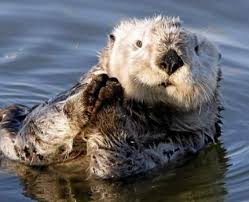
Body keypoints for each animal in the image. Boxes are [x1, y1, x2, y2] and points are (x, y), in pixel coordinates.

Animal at [0, 16, 222, 179]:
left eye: (197, 49)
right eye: (138, 43)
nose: (170, 59)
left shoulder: (178, 145)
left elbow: (119, 163)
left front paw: (110, 104)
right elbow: (34, 134)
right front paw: (92, 93)